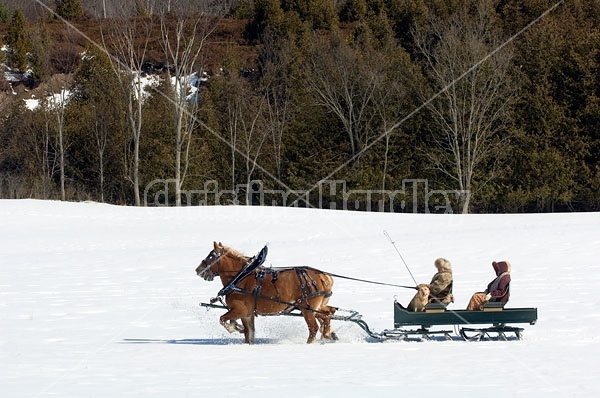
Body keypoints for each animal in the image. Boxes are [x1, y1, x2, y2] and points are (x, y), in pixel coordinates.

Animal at [197, 241, 338, 344]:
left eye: (211, 256)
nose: (198, 270)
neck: (241, 277)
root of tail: (323, 276)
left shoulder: (240, 310)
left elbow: (222, 319)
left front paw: (234, 328)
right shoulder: (247, 314)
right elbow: (249, 333)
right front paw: (241, 331)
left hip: (306, 309)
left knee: (313, 328)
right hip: (313, 307)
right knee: (327, 315)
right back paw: (328, 334)